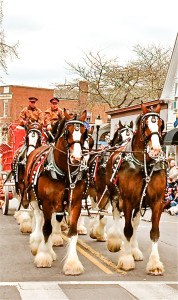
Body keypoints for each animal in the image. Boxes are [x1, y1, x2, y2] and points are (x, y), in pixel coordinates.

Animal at [23, 109, 90, 274]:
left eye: (85, 133)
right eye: (67, 132)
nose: (76, 158)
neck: (65, 174)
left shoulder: (75, 203)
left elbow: (73, 232)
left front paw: (72, 263)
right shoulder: (47, 202)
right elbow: (46, 228)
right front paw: (44, 256)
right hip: (34, 197)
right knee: (39, 218)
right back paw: (37, 243)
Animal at [105, 102, 167, 274]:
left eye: (161, 124)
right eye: (145, 124)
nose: (156, 149)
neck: (144, 164)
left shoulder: (157, 201)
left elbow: (154, 232)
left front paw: (154, 263)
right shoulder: (127, 199)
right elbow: (127, 229)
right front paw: (126, 259)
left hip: (139, 203)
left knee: (135, 221)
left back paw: (134, 249)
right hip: (114, 195)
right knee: (117, 216)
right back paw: (116, 242)